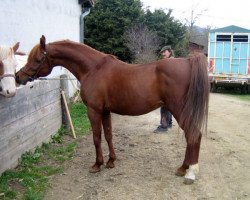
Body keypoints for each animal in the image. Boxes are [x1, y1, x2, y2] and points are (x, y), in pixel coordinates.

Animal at [15, 36, 209, 184]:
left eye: (37, 59)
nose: (18, 77)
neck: (93, 68)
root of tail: (188, 61)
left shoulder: (94, 110)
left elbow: (96, 137)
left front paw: (97, 165)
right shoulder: (106, 111)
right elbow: (108, 135)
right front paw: (111, 161)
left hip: (180, 110)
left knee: (193, 135)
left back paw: (190, 172)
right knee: (192, 136)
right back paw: (183, 168)